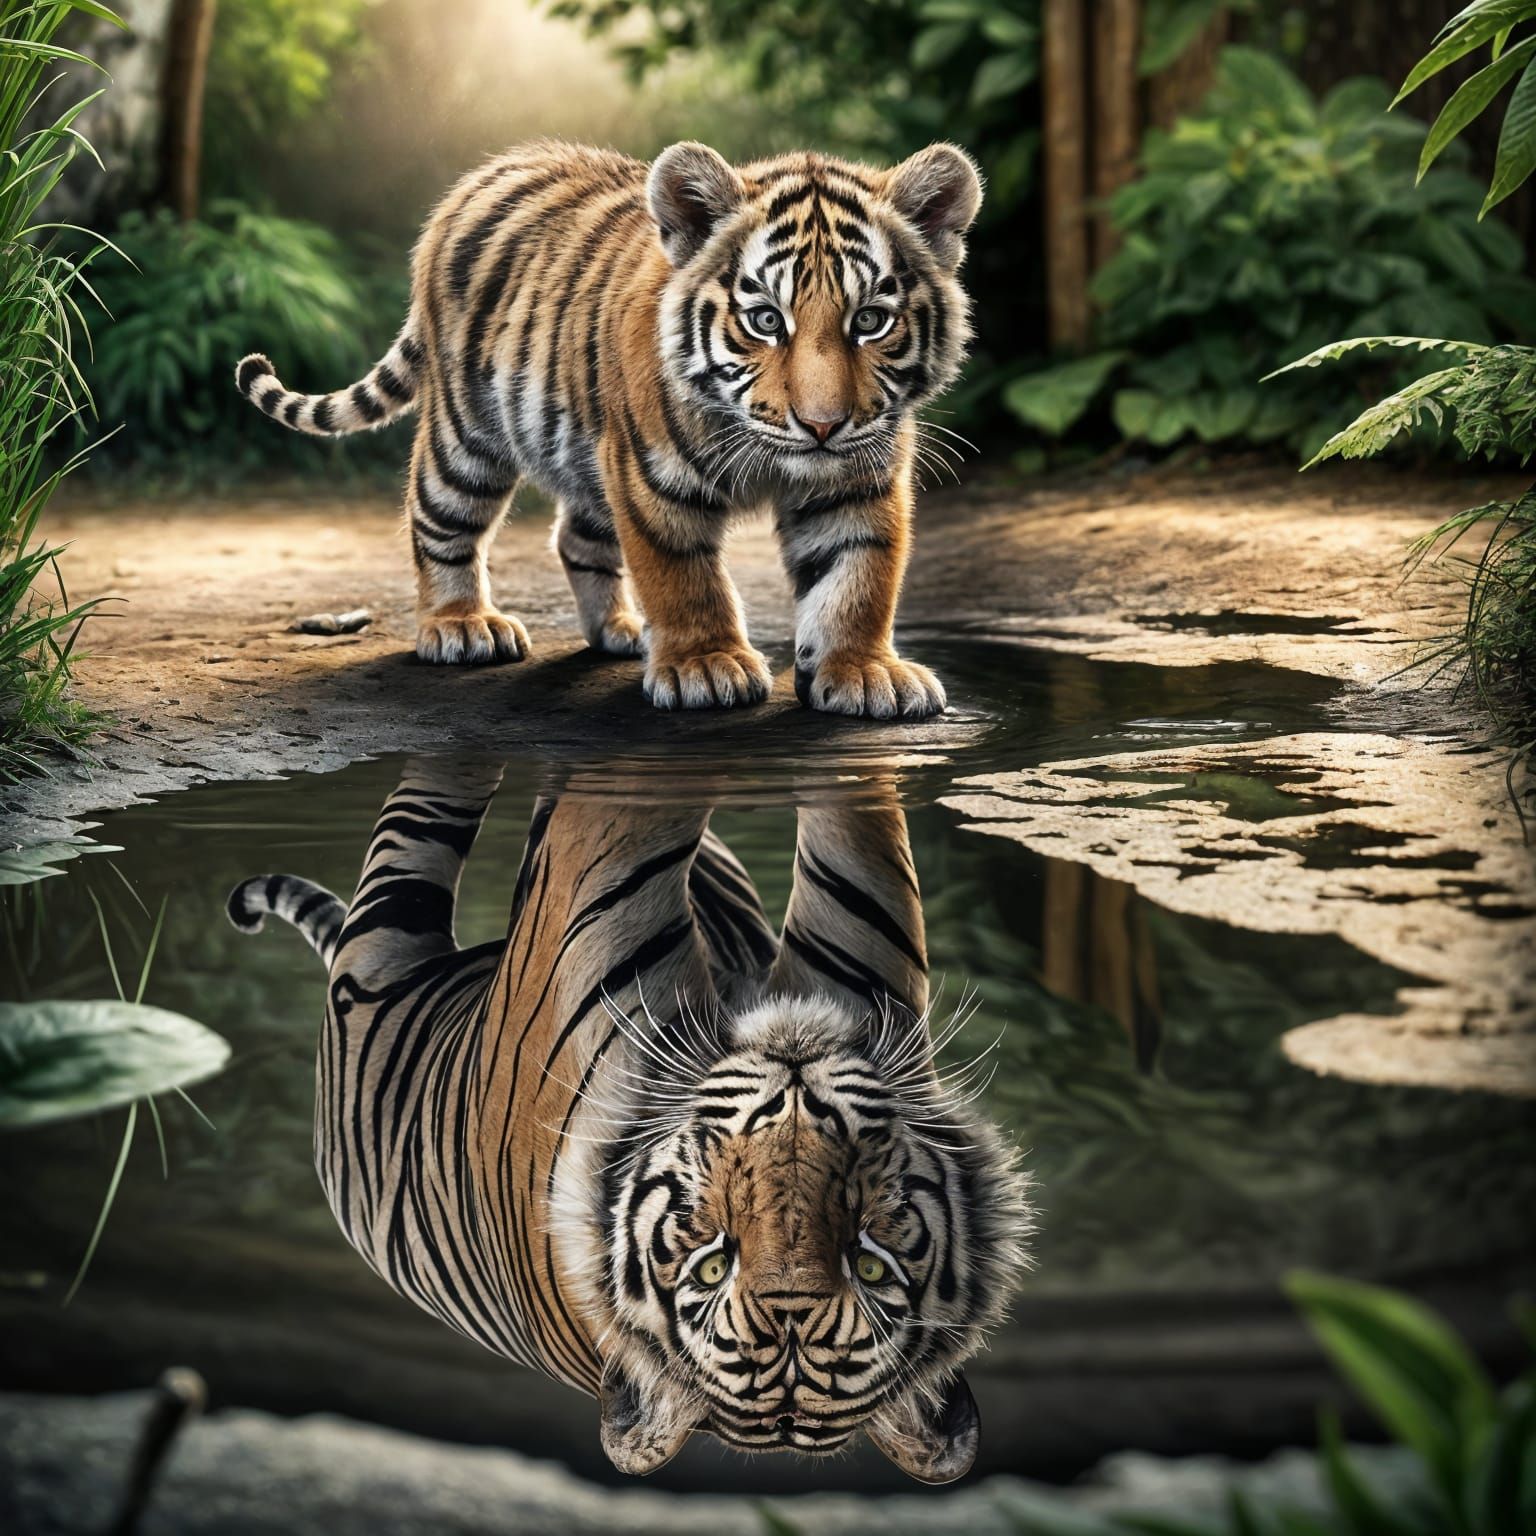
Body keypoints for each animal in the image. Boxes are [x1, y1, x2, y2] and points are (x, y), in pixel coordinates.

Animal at [234, 137, 983, 718]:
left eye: (870, 321)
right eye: (766, 320)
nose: (823, 425)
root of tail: (480, 175)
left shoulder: (858, 479)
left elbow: (859, 577)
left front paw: (863, 671)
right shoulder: (653, 476)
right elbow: (682, 574)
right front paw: (706, 664)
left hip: (586, 454)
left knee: (577, 537)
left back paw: (622, 630)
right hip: (468, 436)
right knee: (437, 520)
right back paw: (461, 625)